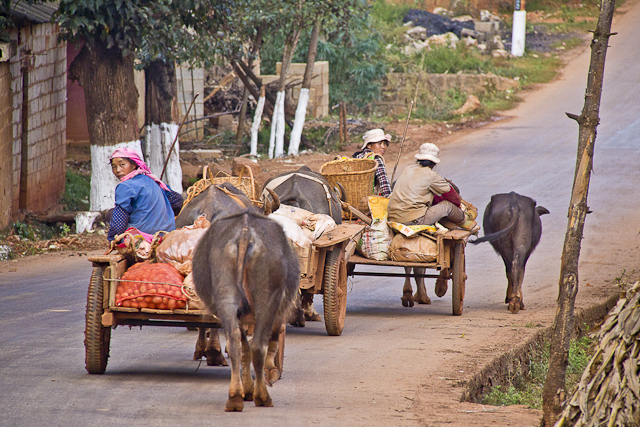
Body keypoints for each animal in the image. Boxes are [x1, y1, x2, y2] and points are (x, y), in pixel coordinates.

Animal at [192, 211, 300, 412]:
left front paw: (246, 389)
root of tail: (245, 233)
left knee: (234, 341)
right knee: (258, 346)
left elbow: (244, 349)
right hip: (268, 298)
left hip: (225, 295)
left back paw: (234, 396)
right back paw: (262, 396)